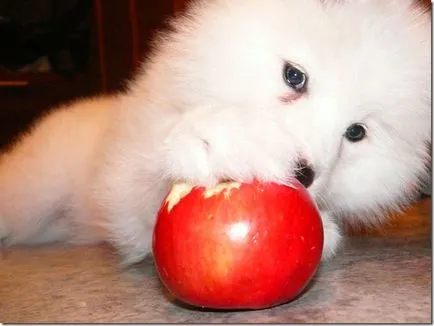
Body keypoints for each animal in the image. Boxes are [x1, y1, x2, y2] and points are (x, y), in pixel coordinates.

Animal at [0, 0, 430, 264]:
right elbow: (147, 176)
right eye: (295, 76)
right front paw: (221, 141)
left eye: (356, 132)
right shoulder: (122, 186)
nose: (304, 175)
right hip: (36, 192)